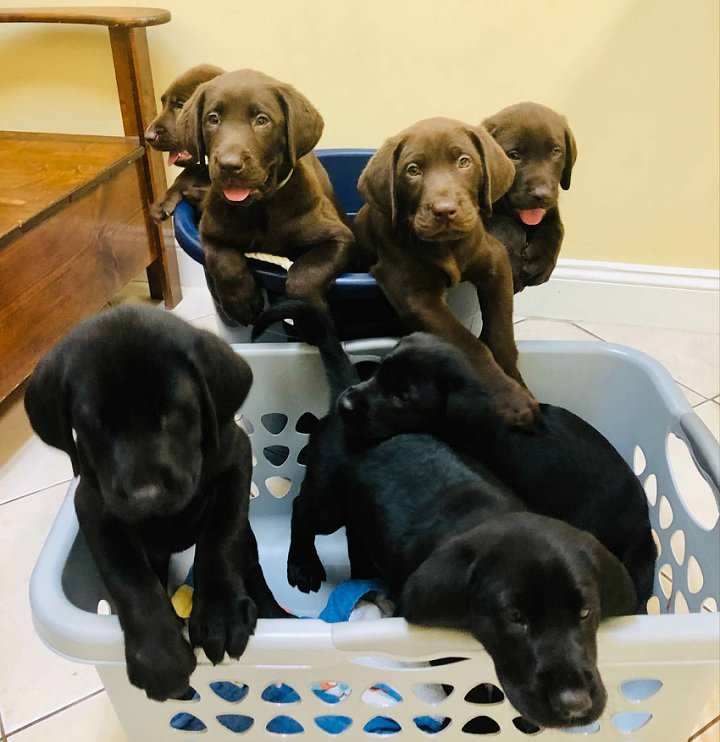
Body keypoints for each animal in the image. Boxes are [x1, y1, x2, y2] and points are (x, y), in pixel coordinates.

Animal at [28, 308, 286, 704]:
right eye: (94, 426)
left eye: (175, 413)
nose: (144, 496)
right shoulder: (95, 508)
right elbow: (130, 579)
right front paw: (159, 659)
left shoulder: (236, 460)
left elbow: (220, 540)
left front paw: (221, 614)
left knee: (251, 565)